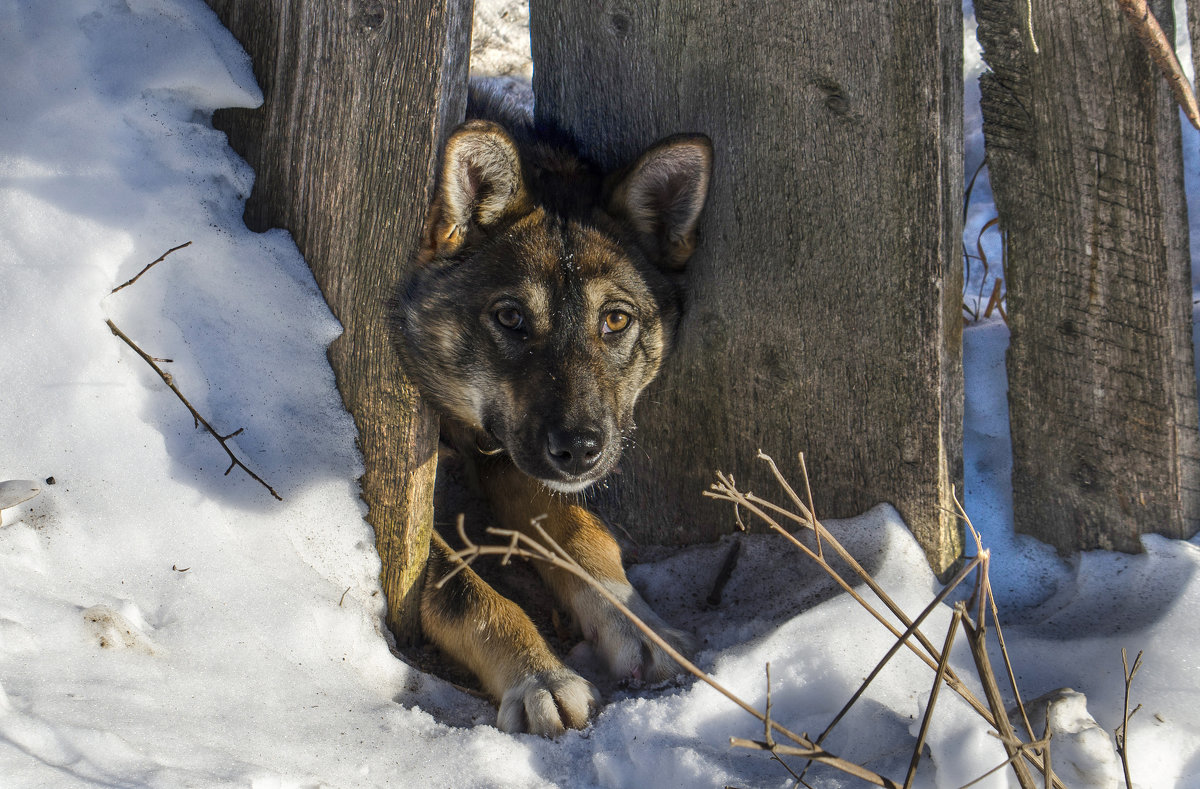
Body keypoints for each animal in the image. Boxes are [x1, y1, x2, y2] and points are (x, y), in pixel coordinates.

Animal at [393, 82, 710, 733]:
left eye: (615, 320)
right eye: (512, 317)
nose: (581, 449)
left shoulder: (509, 458)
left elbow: (585, 535)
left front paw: (641, 626)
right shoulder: (421, 512)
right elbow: (466, 593)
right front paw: (540, 675)